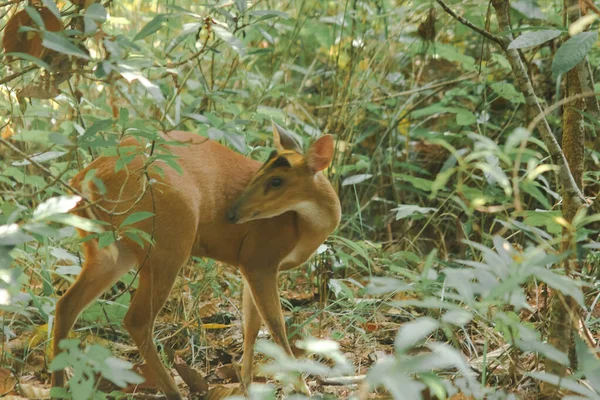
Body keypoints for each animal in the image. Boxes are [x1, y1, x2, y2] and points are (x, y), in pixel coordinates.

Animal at [50, 123, 342, 398]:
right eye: (263, 174)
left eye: (277, 180)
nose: (231, 214)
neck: (302, 227)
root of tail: (86, 177)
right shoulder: (260, 258)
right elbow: (275, 326)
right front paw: (302, 387)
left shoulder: (249, 264)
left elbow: (251, 327)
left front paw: (246, 386)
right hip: (168, 241)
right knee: (136, 319)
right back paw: (173, 391)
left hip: (112, 250)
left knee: (66, 304)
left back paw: (58, 387)